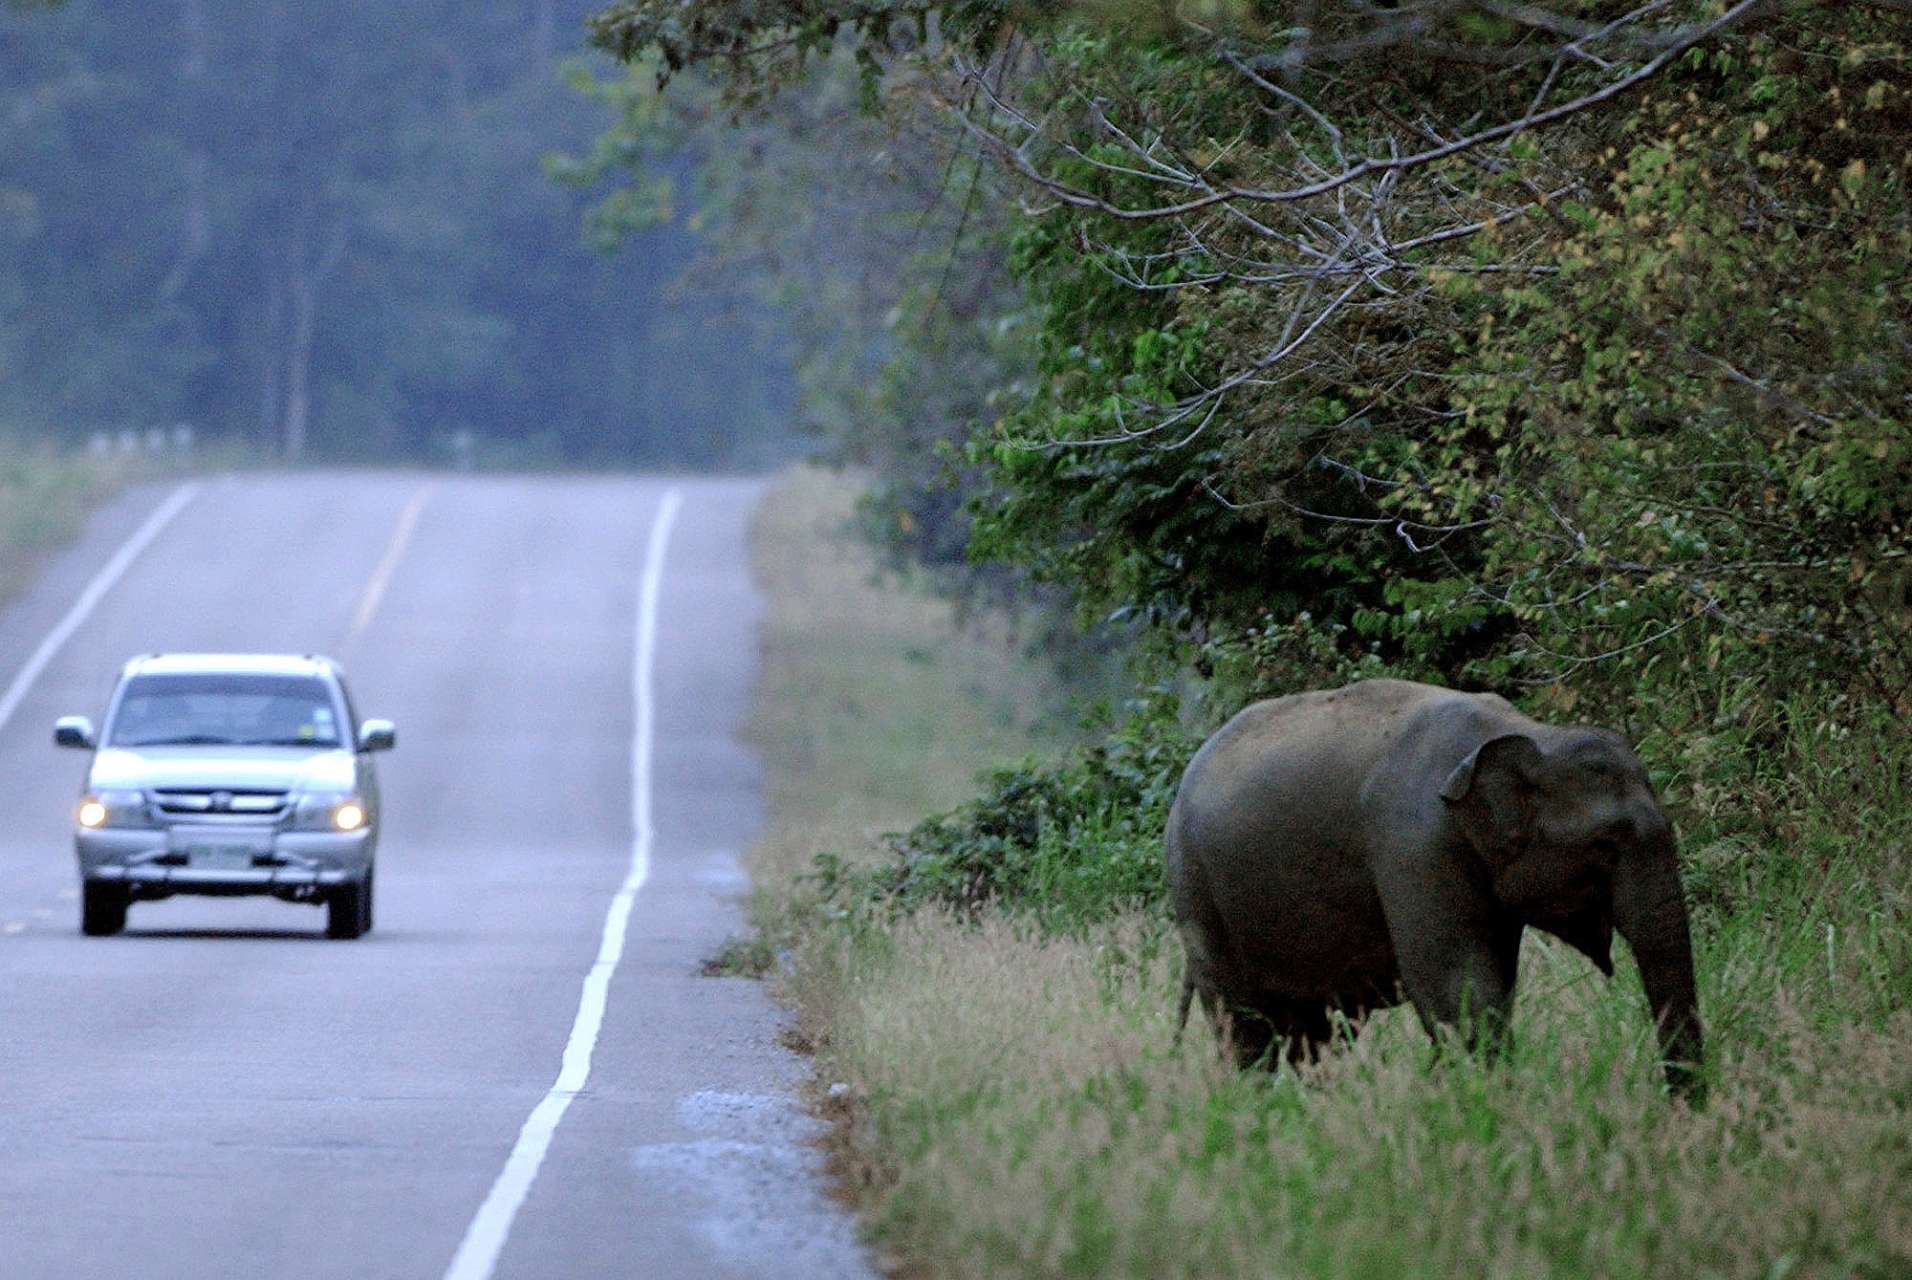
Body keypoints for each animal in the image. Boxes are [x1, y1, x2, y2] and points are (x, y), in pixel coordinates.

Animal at [1165, 678, 1704, 1098]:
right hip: (1196, 892)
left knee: (1315, 1034)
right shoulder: (1415, 846)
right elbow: (1457, 989)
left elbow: (1490, 987)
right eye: (1605, 847)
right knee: (1245, 1027)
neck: (1525, 733)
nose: (1679, 1114)